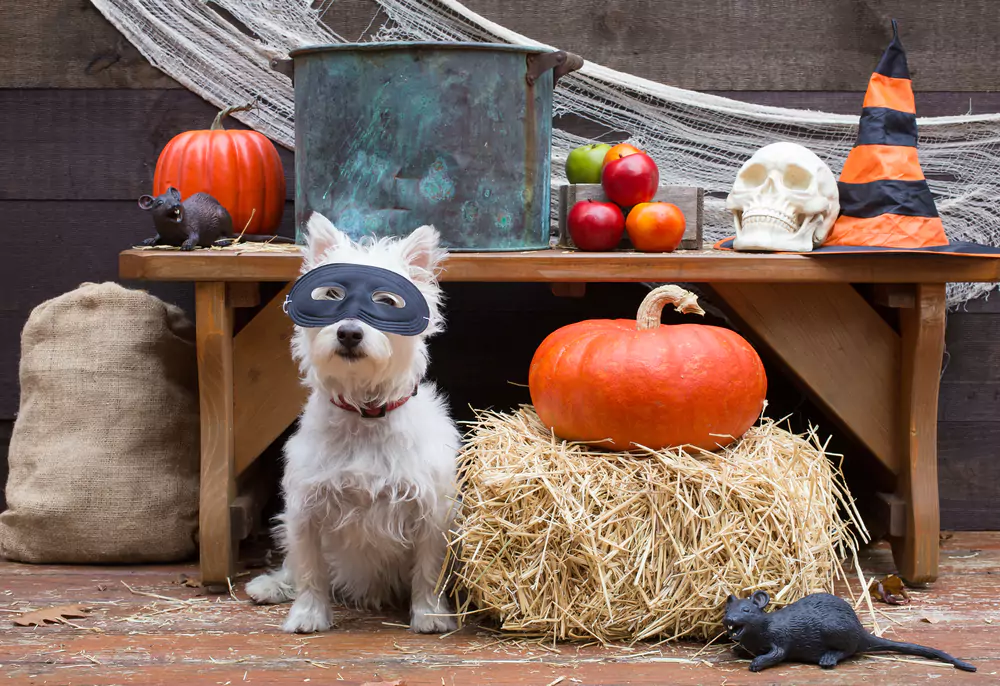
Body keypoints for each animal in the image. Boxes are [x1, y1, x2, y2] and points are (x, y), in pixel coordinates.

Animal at [246, 212, 460, 636]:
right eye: (330, 296)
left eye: (387, 302)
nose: (348, 332)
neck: (365, 413)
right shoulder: (306, 508)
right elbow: (310, 570)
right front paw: (308, 615)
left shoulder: (432, 509)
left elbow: (429, 569)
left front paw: (430, 615)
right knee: (292, 566)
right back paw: (270, 585)